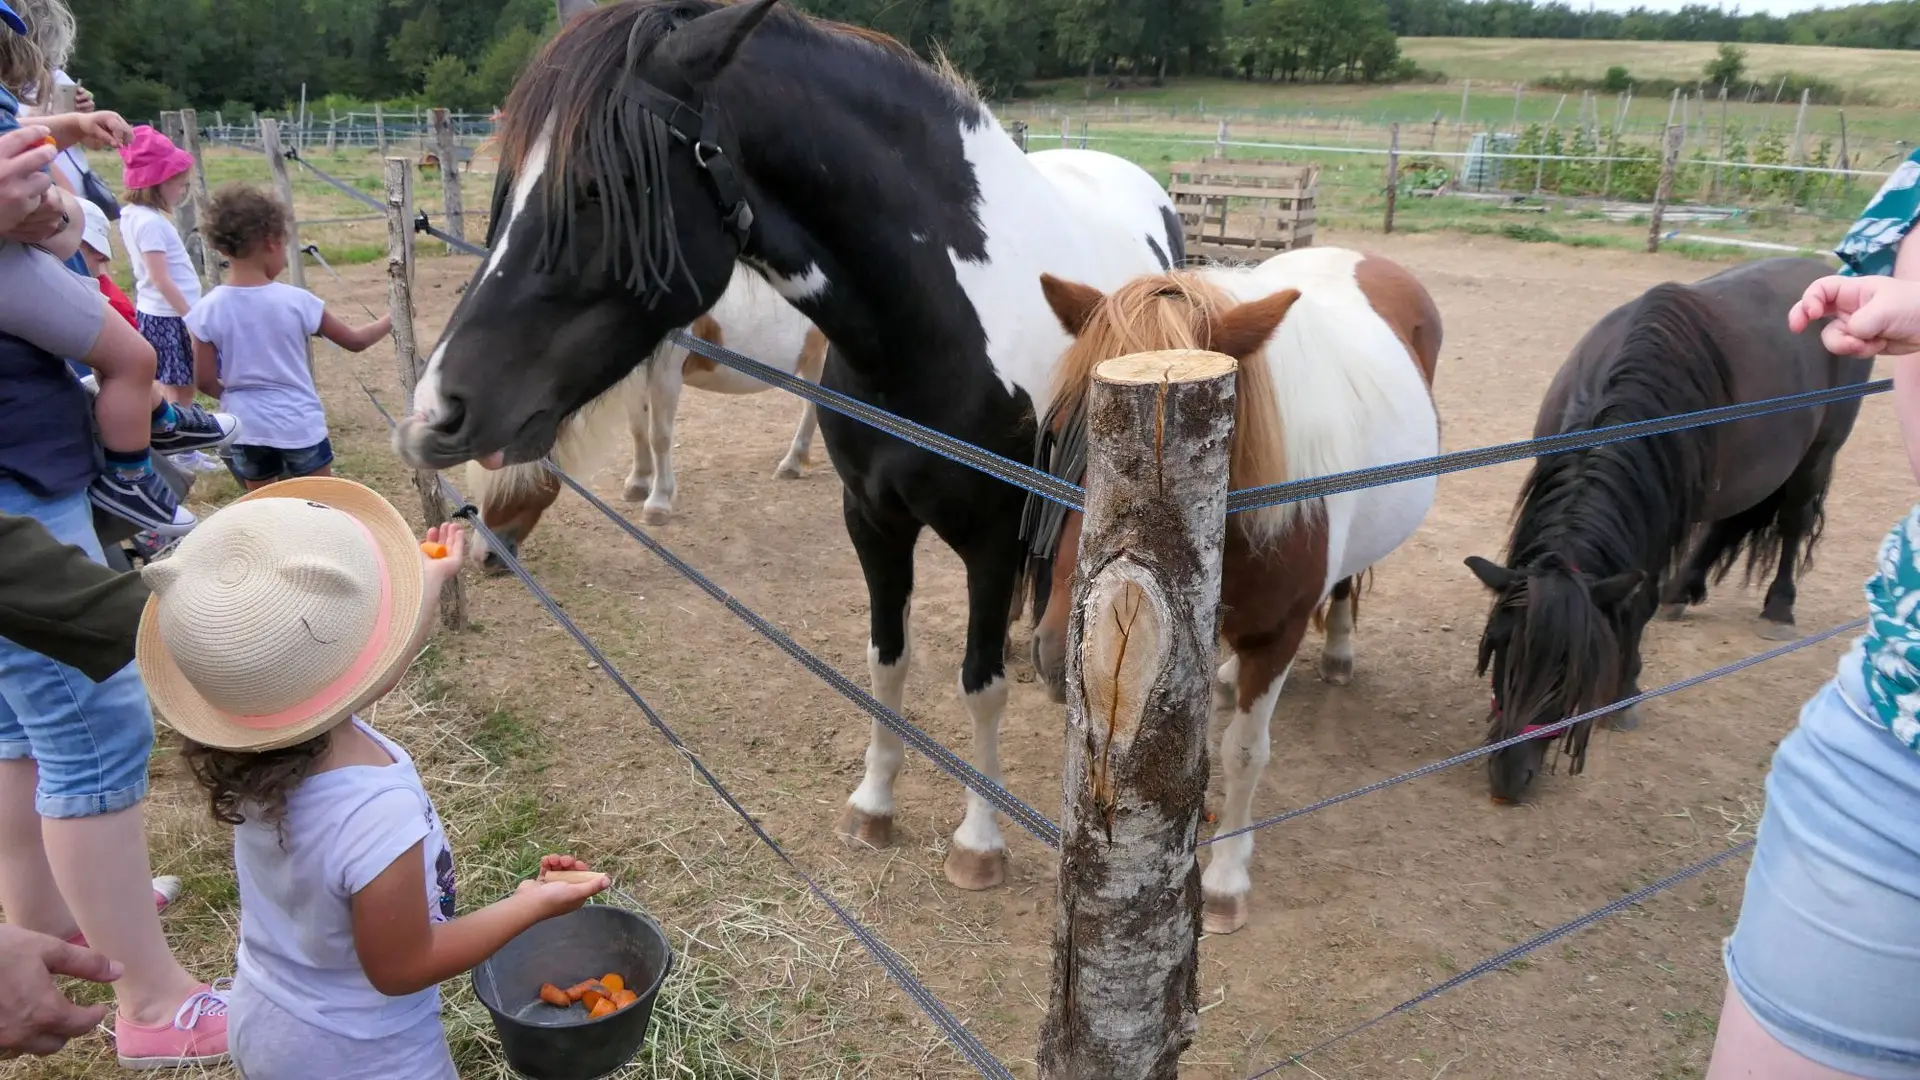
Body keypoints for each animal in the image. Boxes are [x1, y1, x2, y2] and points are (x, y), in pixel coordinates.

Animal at [468, 263, 829, 564]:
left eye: (515, 480)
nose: (484, 556)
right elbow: (638, 429)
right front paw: (638, 482)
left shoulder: (666, 374)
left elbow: (659, 436)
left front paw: (658, 503)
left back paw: (793, 462)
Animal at [1029, 247, 1436, 930]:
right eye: (1057, 429)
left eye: (1204, 456)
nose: (1064, 657)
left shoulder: (1278, 636)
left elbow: (1244, 752)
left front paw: (1225, 879)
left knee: (1344, 588)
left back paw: (1339, 652)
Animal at [1466, 255, 1873, 803]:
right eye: (1500, 649)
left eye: (1576, 675)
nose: (1509, 778)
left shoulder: (1663, 524)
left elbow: (1639, 601)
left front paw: (1625, 693)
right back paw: (1686, 592)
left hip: (1816, 456)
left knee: (1792, 524)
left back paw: (1778, 608)